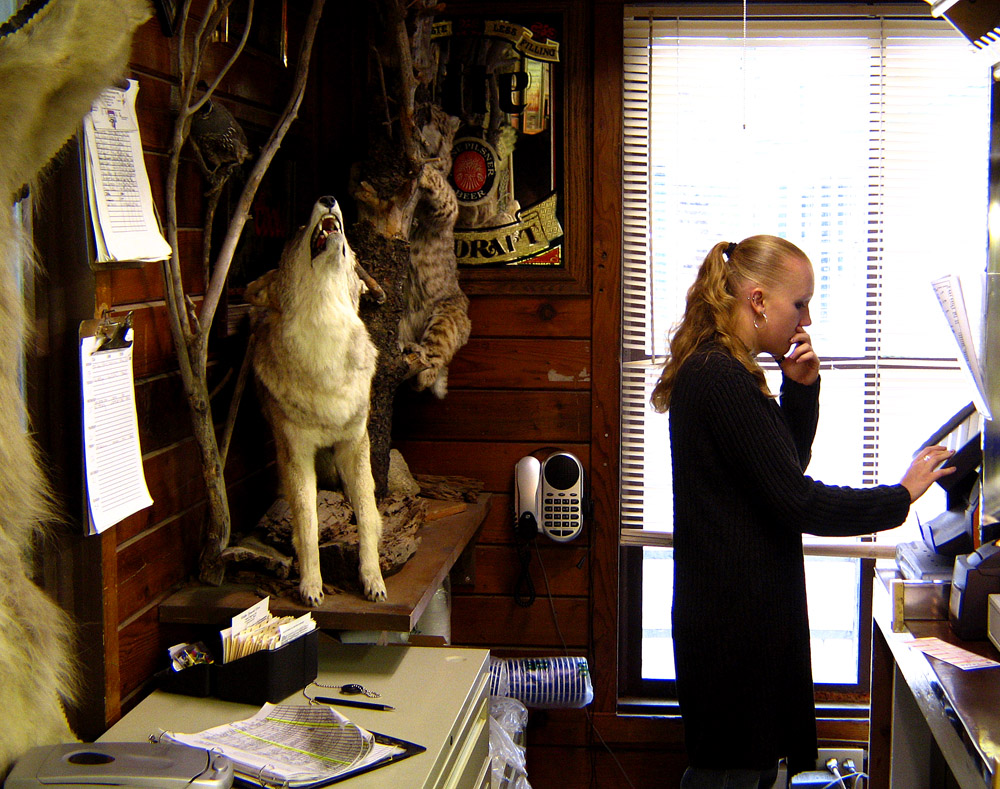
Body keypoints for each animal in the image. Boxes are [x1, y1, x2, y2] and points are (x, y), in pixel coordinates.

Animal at [249, 195, 386, 604]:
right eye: (297, 229)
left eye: (348, 249)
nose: (328, 198)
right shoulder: (296, 455)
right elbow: (307, 526)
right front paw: (310, 585)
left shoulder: (355, 446)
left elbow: (368, 516)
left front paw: (373, 579)